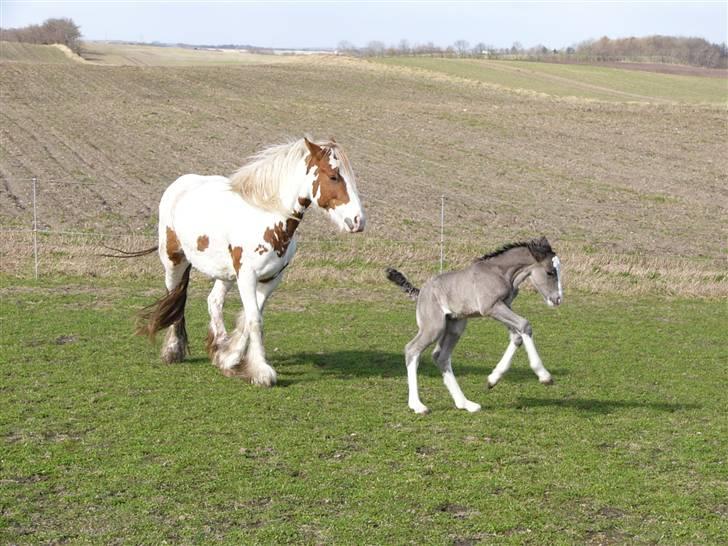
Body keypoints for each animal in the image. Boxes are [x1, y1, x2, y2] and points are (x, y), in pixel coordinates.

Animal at [121, 137, 370, 382]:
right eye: (333, 176)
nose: (358, 221)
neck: (266, 216)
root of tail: (179, 184)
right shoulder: (247, 276)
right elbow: (254, 320)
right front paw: (261, 372)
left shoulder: (271, 279)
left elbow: (248, 318)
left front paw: (229, 358)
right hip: (174, 261)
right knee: (175, 299)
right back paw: (173, 350)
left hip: (225, 273)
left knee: (213, 301)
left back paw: (219, 344)